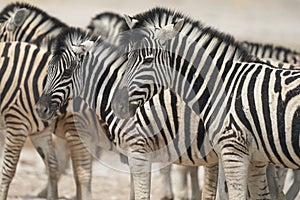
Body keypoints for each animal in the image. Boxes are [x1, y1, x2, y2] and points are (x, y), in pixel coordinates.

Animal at [109, 7, 300, 199]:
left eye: (148, 60)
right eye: (128, 57)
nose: (117, 104)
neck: (223, 85)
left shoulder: (233, 151)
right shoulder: (255, 158)